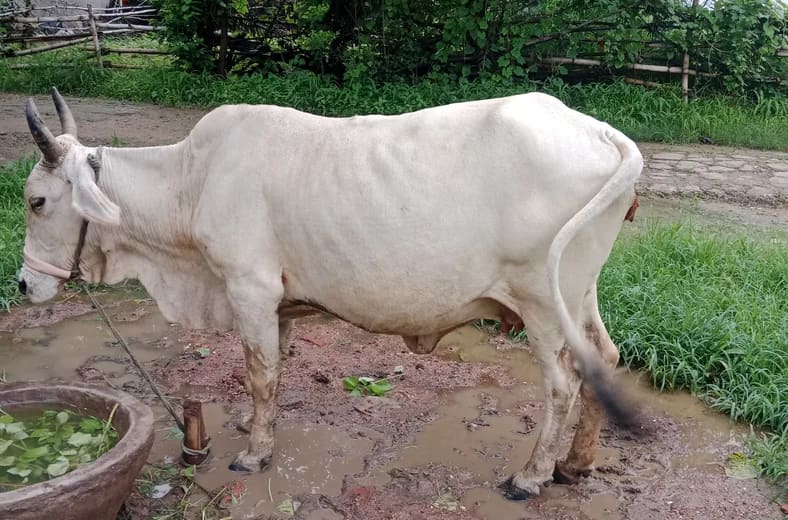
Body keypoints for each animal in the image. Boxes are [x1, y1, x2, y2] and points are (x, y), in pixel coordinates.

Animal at [18, 88, 642, 499]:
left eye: (36, 201)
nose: (24, 284)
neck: (190, 183)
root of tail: (600, 132)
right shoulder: (275, 301)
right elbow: (273, 366)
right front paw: (251, 426)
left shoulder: (248, 287)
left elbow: (260, 371)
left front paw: (254, 453)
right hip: (578, 294)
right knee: (603, 360)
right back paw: (576, 464)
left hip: (542, 302)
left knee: (562, 383)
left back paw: (532, 476)